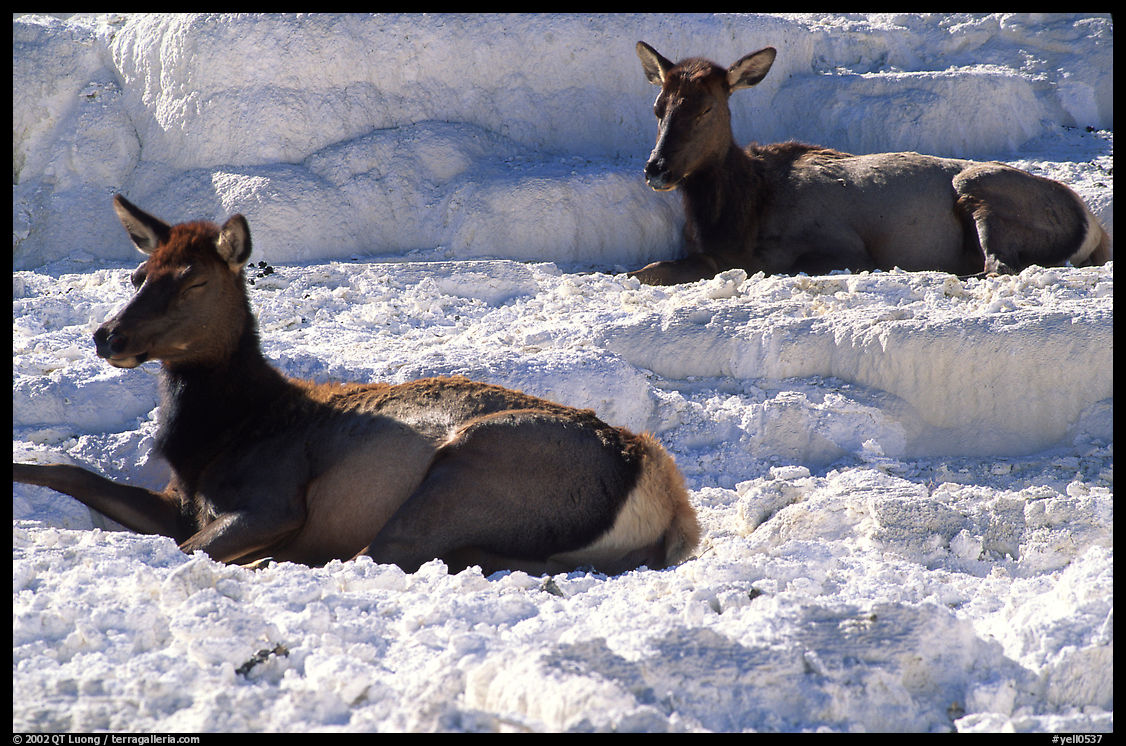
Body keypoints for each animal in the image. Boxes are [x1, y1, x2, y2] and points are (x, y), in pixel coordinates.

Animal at [12, 195, 700, 576]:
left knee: (377, 550)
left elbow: (191, 548)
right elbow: (73, 472)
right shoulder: (182, 500)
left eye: (195, 281)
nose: (108, 336)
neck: (219, 435)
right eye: (138, 274)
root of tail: (668, 499)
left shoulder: (272, 500)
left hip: (468, 469)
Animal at [629, 41, 1112, 286]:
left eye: (706, 109)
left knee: (1000, 265)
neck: (740, 212)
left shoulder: (841, 246)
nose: (657, 168)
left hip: (980, 186)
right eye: (657, 107)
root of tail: (1093, 225)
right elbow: (649, 269)